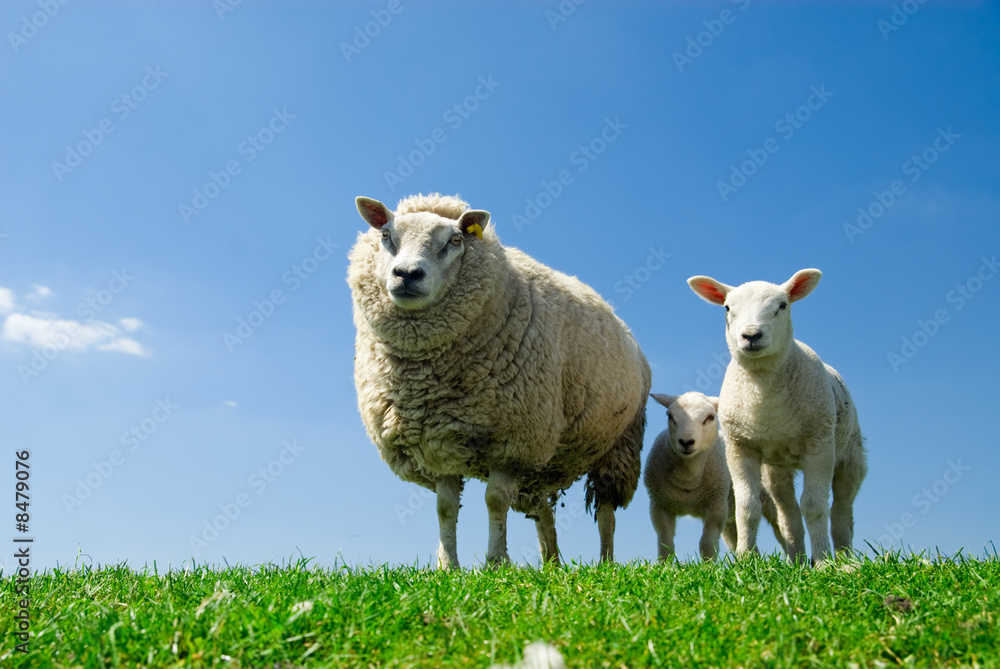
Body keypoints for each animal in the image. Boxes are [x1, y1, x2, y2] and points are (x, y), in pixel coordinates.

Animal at [348, 193, 651, 568]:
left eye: (455, 240)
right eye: (386, 235)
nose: (406, 274)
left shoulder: (514, 441)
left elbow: (495, 500)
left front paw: (495, 562)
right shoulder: (438, 442)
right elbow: (445, 508)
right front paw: (449, 566)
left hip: (618, 446)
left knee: (607, 511)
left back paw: (605, 562)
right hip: (543, 466)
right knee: (542, 513)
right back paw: (552, 563)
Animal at [644, 391, 783, 561]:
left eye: (710, 417)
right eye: (669, 416)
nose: (686, 442)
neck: (689, 479)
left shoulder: (716, 506)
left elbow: (707, 544)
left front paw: (708, 565)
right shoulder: (659, 506)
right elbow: (665, 544)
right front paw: (665, 565)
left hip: (767, 501)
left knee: (782, 531)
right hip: (730, 520)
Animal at [687, 269, 867, 563]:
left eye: (782, 306)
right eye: (727, 308)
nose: (751, 335)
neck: (765, 401)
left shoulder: (820, 445)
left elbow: (815, 506)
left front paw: (823, 562)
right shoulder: (740, 447)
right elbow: (747, 507)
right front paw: (745, 559)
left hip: (850, 456)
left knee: (841, 511)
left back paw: (843, 557)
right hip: (776, 470)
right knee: (788, 514)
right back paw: (797, 559)